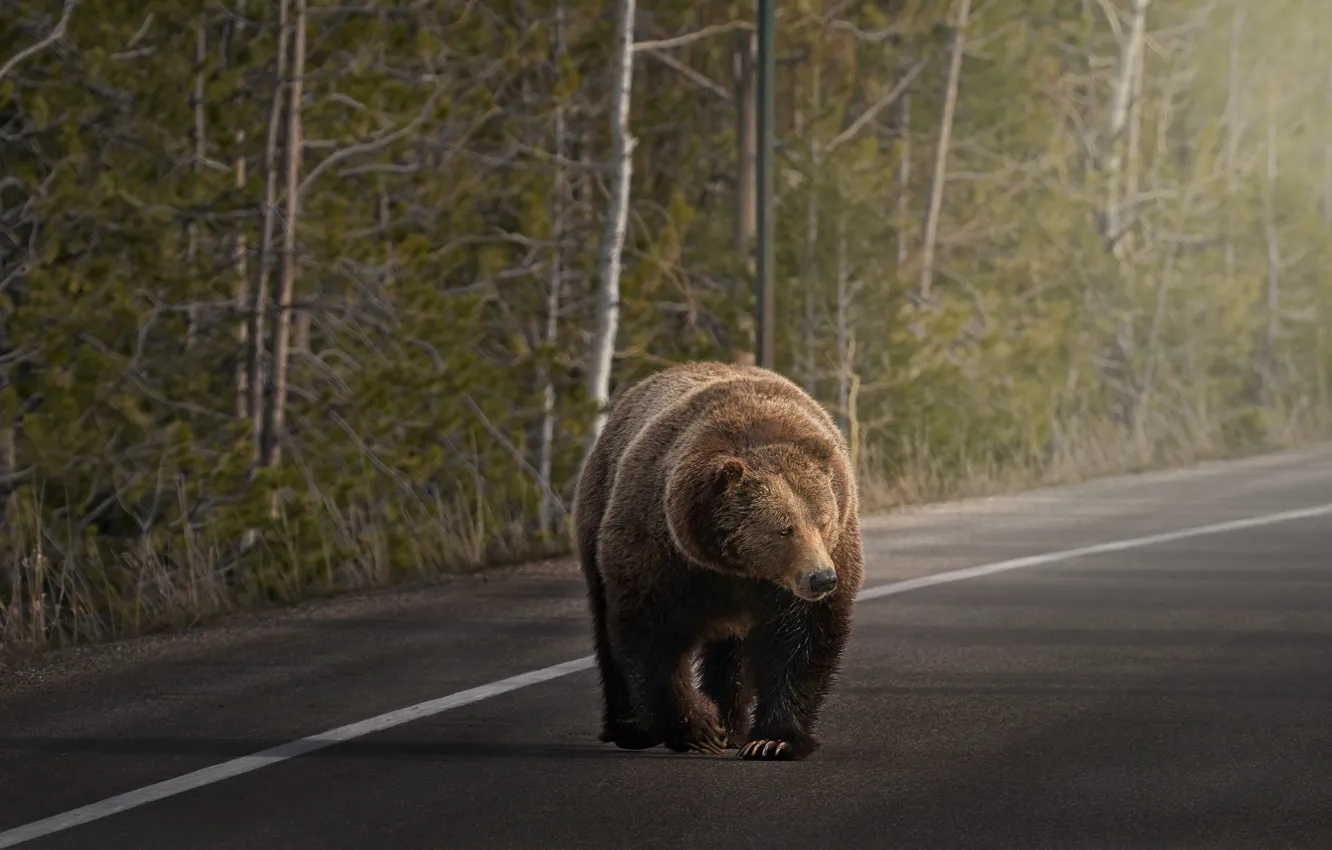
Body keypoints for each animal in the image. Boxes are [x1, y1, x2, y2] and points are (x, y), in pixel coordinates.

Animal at [572, 360, 864, 761]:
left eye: (823, 521)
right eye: (784, 529)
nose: (821, 578)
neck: (736, 567)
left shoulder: (818, 563)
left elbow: (802, 637)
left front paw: (773, 740)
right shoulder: (663, 551)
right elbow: (651, 635)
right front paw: (700, 728)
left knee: (731, 651)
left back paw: (732, 725)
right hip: (597, 510)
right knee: (606, 626)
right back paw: (632, 729)